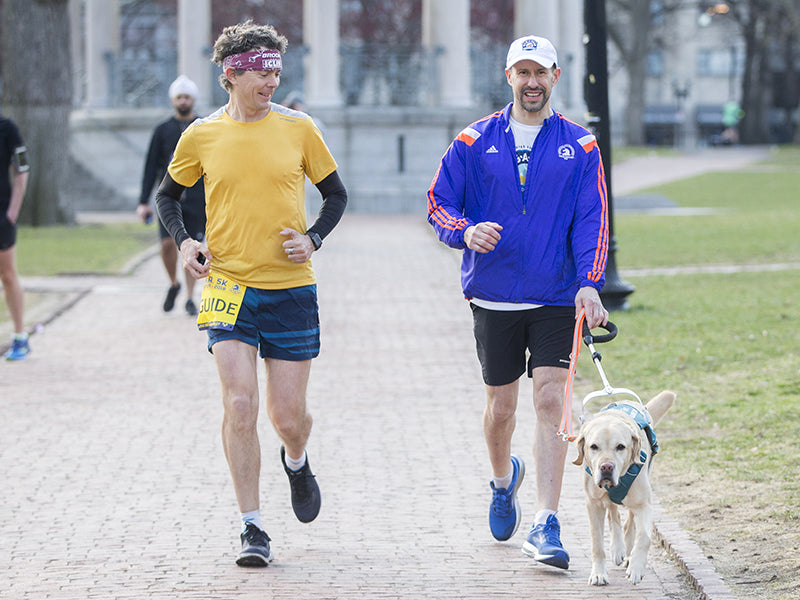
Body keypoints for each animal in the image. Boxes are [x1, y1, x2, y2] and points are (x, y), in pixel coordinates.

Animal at [572, 390, 672, 584]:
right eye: (593, 446)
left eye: (620, 447)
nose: (606, 467)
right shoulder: (593, 504)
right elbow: (597, 544)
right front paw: (598, 573)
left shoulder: (644, 504)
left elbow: (644, 537)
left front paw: (636, 567)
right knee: (614, 515)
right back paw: (618, 549)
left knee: (629, 523)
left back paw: (628, 553)